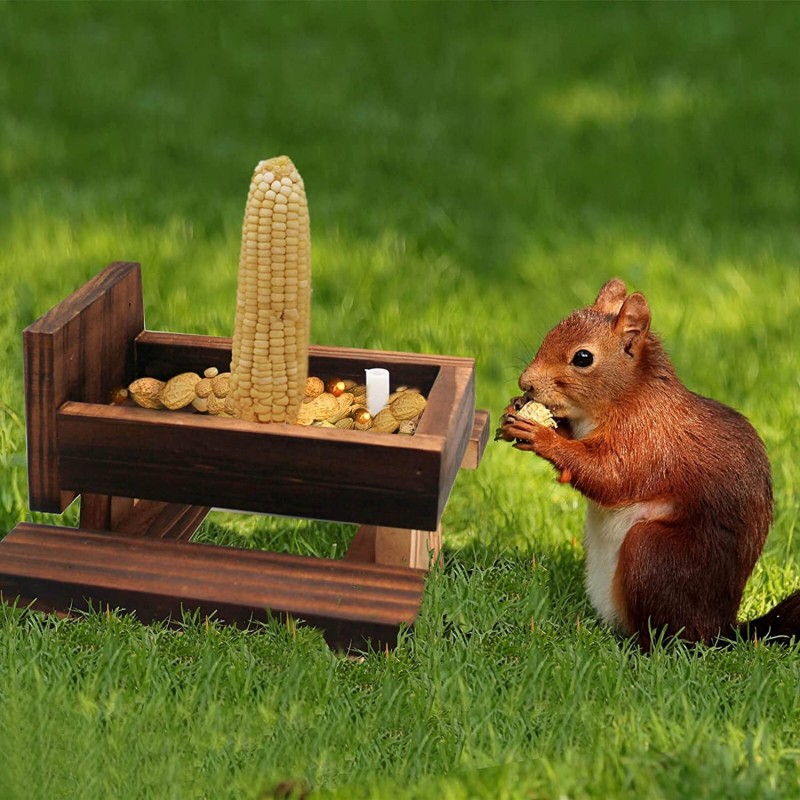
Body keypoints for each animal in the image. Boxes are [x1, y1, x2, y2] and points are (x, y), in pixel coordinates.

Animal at [499, 278, 800, 651]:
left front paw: (540, 435)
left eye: (583, 357)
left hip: (653, 554)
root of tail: (720, 630)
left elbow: (609, 476)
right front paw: (516, 411)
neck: (627, 395)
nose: (525, 383)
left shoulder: (647, 439)